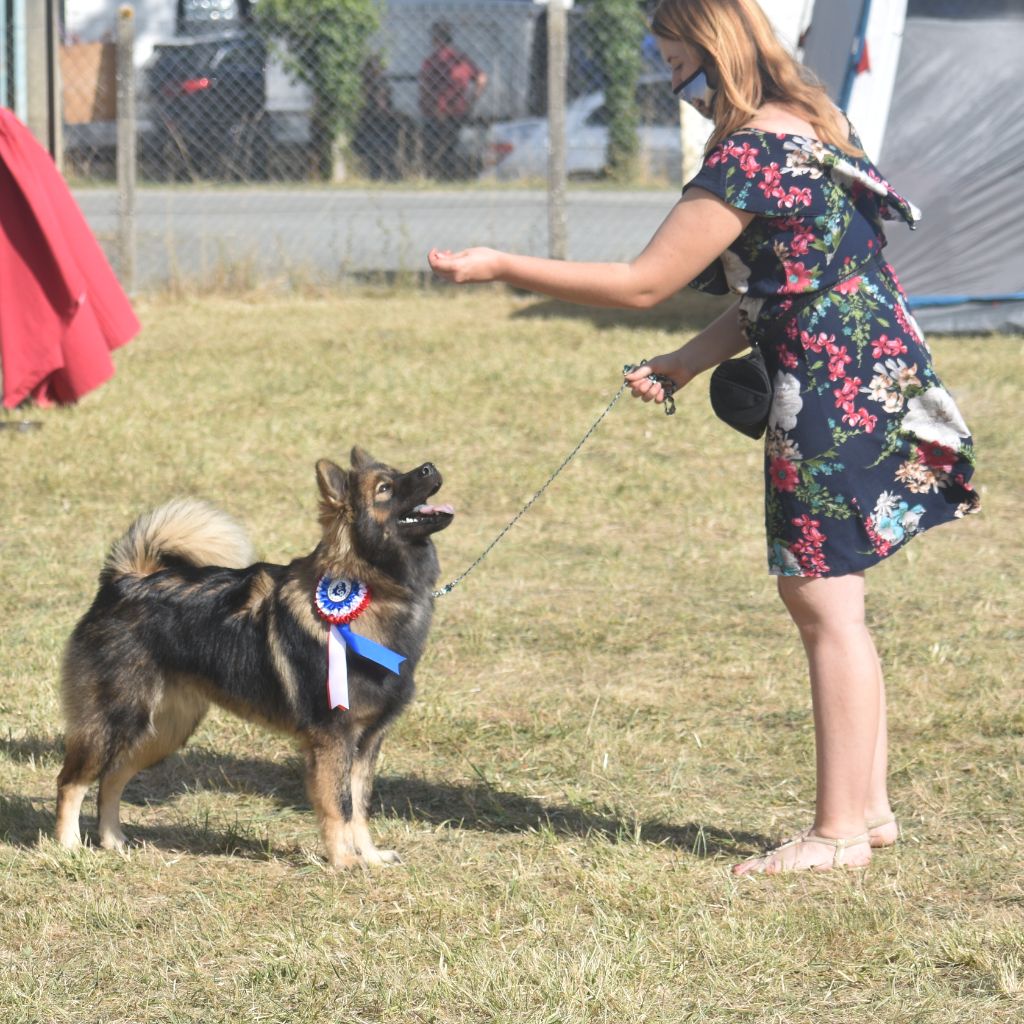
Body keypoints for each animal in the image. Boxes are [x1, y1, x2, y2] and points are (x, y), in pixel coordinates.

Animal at [55, 446, 452, 864]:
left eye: (398, 472)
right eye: (385, 488)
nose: (430, 467)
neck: (371, 585)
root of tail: (123, 581)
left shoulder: (367, 741)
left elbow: (359, 806)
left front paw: (370, 858)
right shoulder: (333, 738)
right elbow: (338, 806)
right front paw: (344, 861)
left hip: (163, 729)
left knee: (112, 779)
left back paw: (112, 839)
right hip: (115, 719)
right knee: (72, 781)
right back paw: (68, 847)